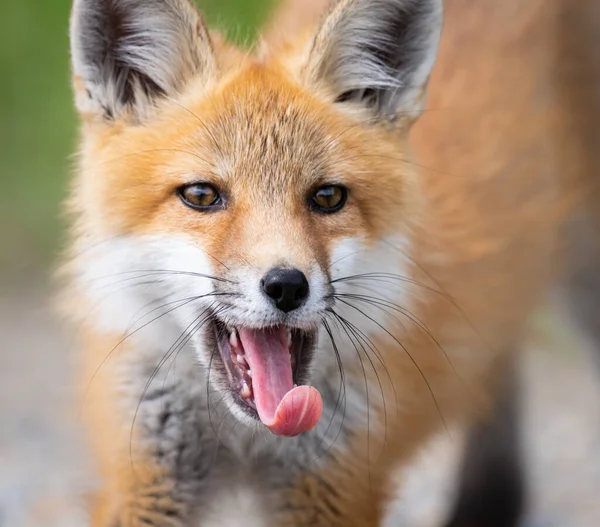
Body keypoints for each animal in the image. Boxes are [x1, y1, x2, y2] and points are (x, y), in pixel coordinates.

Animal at [64, 1, 600, 527]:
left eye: (327, 197)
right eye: (201, 195)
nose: (287, 286)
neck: (246, 437)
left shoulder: (338, 480)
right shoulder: (144, 471)